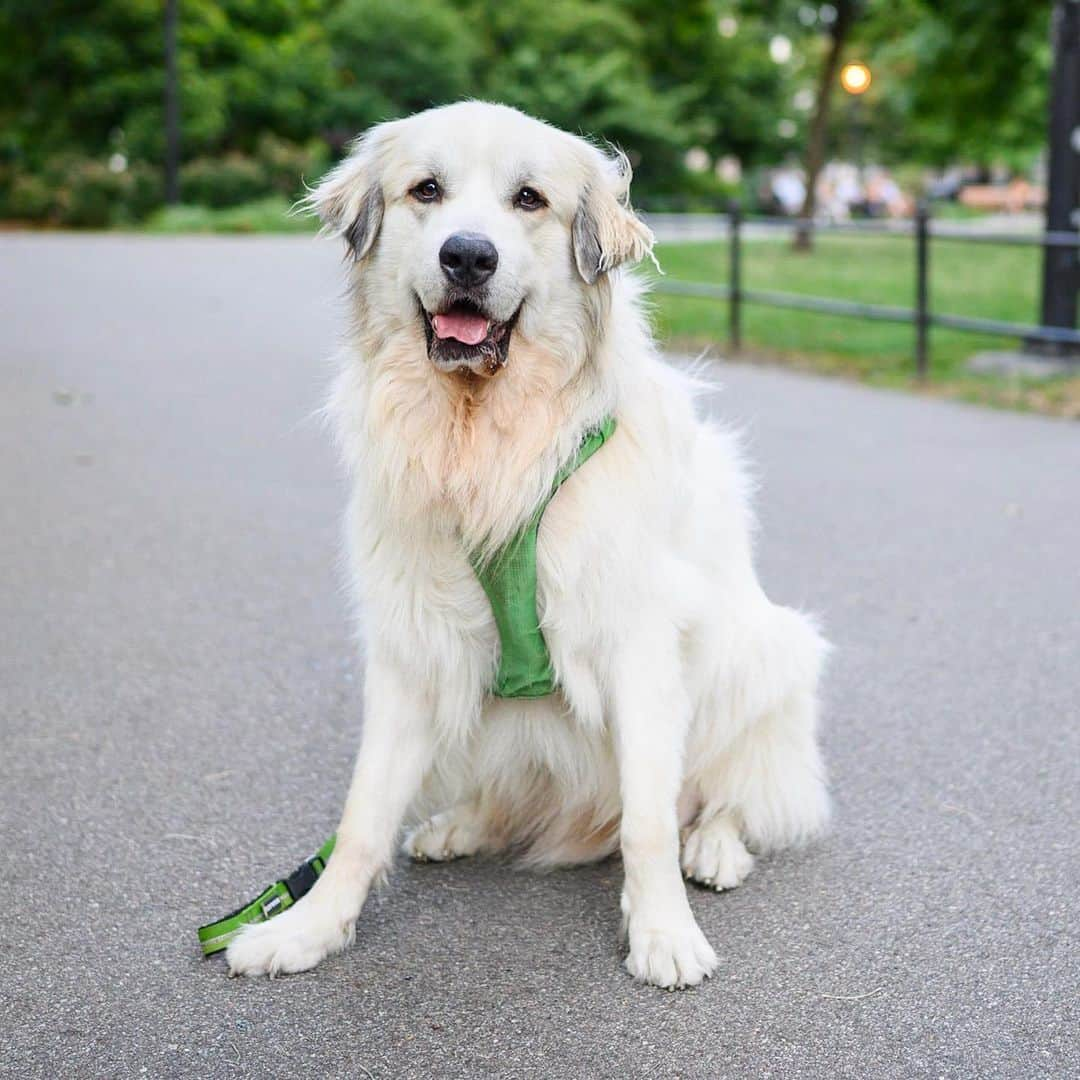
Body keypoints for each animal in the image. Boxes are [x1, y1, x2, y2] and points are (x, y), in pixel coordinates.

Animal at [225, 101, 825, 989]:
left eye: (529, 200)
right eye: (426, 191)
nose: (469, 255)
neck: (488, 437)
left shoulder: (640, 647)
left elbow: (649, 819)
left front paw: (663, 933)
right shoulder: (410, 652)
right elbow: (362, 815)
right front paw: (308, 929)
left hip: (768, 652)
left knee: (725, 792)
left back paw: (715, 849)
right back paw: (462, 823)